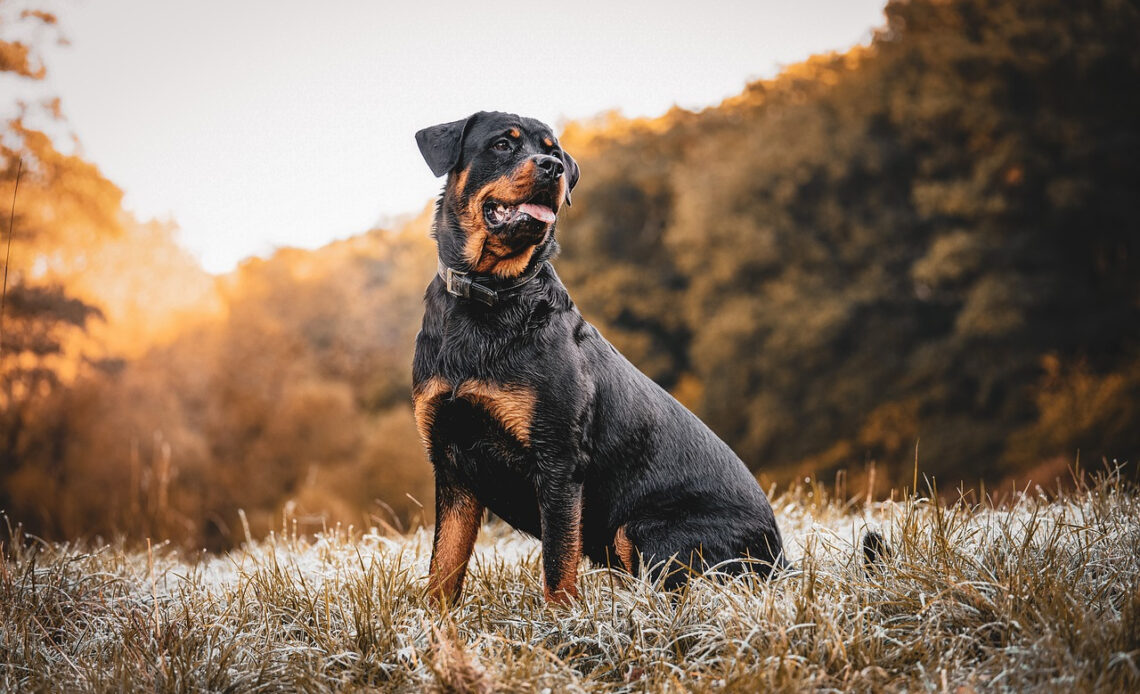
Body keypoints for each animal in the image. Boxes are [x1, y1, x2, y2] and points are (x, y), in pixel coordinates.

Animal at [414, 111, 788, 601]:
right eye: (502, 145)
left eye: (553, 151)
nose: (552, 168)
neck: (490, 295)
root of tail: (781, 559)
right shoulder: (451, 461)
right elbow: (444, 566)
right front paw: (433, 621)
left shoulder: (558, 461)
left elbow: (558, 567)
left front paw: (562, 623)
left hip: (644, 530)